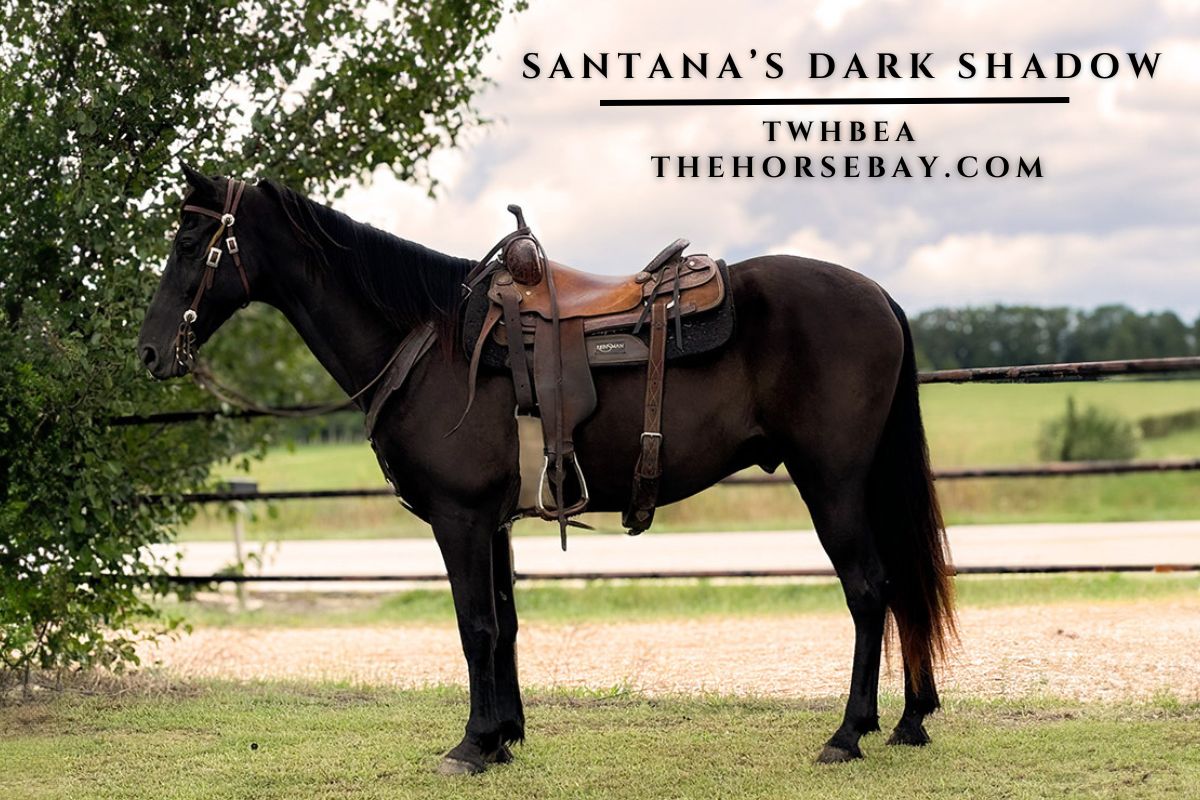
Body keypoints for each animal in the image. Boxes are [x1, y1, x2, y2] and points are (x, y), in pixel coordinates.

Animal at [137, 166, 955, 774]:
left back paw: (848, 732)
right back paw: (910, 719)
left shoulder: (460, 519)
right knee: (899, 586)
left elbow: (473, 626)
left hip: (832, 482)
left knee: (868, 589)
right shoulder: (491, 522)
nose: (148, 352)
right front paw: (503, 738)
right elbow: (504, 625)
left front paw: (471, 745)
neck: (427, 342)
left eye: (190, 237)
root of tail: (879, 294)